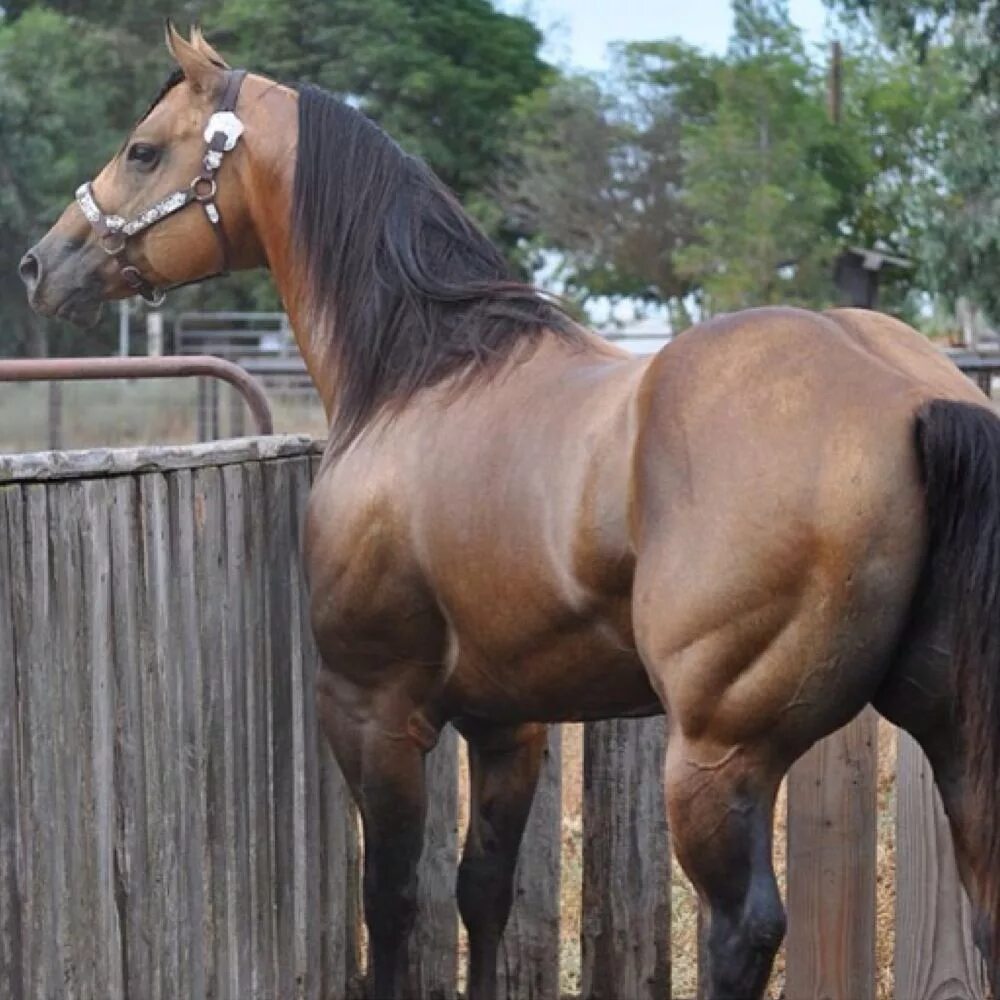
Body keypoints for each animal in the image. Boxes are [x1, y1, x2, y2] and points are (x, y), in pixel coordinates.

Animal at [19, 25, 1000, 1000]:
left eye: (143, 150)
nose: (40, 263)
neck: (421, 374)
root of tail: (911, 395)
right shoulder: (508, 723)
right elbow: (482, 892)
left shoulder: (372, 710)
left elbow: (392, 903)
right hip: (951, 735)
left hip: (719, 756)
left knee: (742, 931)